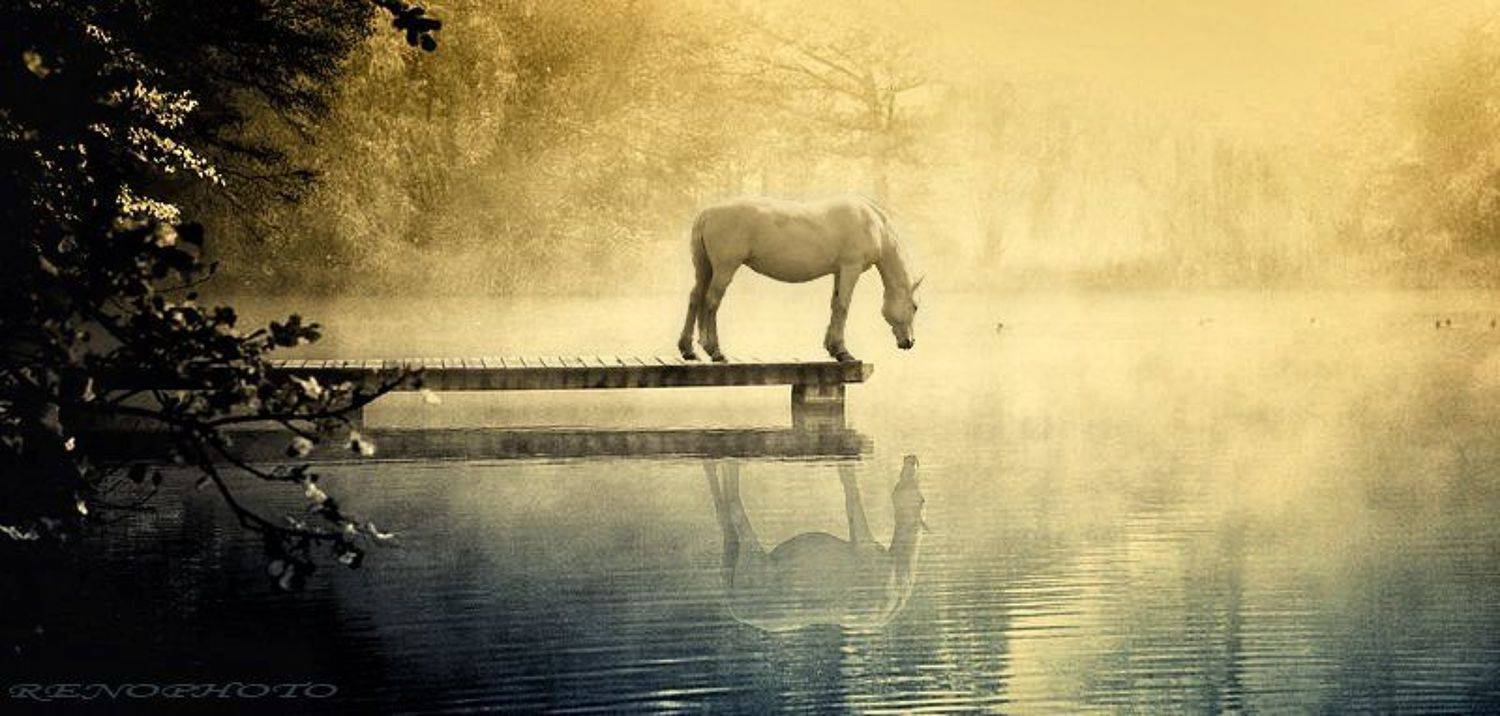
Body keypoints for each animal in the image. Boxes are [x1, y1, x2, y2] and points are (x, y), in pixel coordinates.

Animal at [677, 196, 922, 362]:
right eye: (915, 306)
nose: (909, 342)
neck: (874, 226)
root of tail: (706, 214)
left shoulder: (839, 271)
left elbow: (835, 304)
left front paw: (832, 348)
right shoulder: (850, 268)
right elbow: (843, 306)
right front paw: (843, 352)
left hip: (705, 268)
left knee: (695, 298)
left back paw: (688, 349)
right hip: (725, 268)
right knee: (711, 302)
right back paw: (715, 351)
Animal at [703, 455, 925, 632]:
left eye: (921, 498)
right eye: (901, 486)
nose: (912, 458)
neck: (900, 570)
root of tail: (733, 605)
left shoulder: (863, 546)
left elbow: (851, 496)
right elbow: (851, 494)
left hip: (750, 564)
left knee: (729, 511)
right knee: (728, 509)